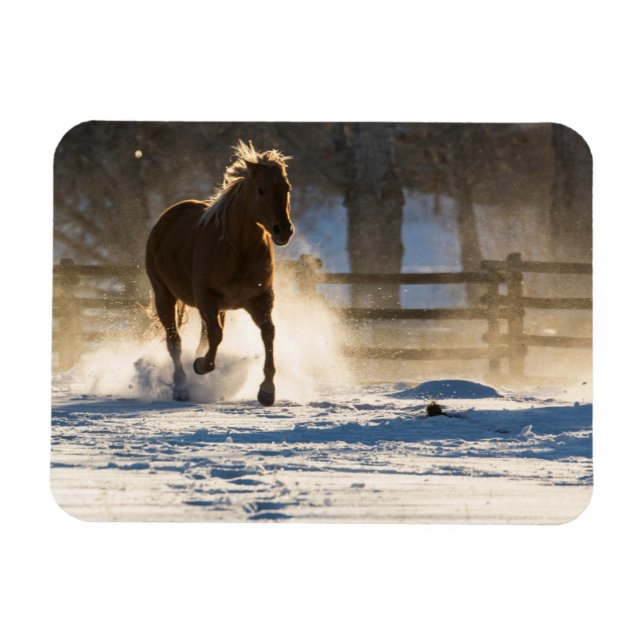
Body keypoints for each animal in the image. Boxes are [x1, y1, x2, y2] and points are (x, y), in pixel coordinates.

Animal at [145, 141, 294, 405]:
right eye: (261, 190)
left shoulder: (260, 299)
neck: (239, 251)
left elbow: (268, 333)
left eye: (286, 188)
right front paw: (200, 365)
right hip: (164, 295)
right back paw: (181, 388)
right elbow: (216, 336)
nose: (283, 230)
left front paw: (267, 391)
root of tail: (166, 218)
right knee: (174, 341)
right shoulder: (207, 298)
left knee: (201, 337)